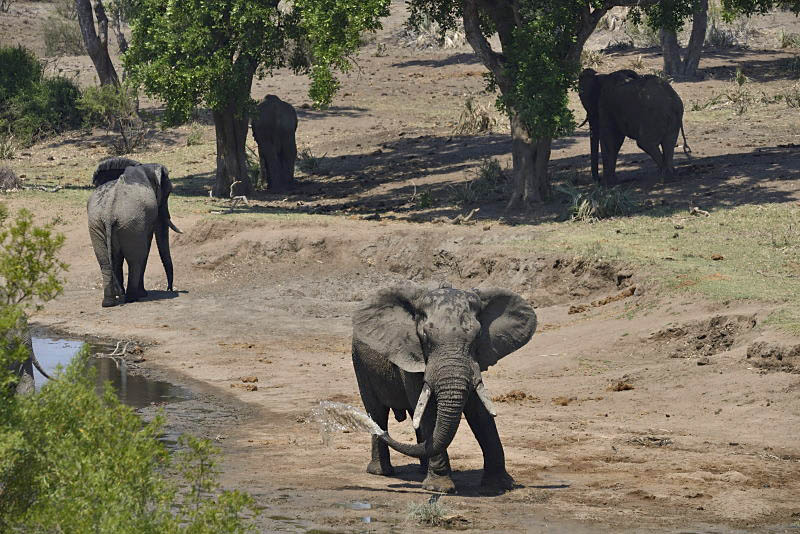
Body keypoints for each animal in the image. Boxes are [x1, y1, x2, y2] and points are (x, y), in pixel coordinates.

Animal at [87, 158, 181, 310]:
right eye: (168, 192)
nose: (170, 289)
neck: (142, 167)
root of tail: (108, 214)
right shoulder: (147, 218)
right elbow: (145, 247)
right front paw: (142, 294)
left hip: (98, 225)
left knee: (105, 262)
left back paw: (109, 302)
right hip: (131, 224)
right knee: (135, 259)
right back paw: (132, 298)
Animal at [352, 282, 536, 496]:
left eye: (478, 336)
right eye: (425, 336)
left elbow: (480, 413)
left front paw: (500, 485)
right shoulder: (413, 356)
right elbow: (430, 413)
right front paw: (439, 488)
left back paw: (422, 469)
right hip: (360, 364)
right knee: (377, 412)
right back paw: (381, 472)